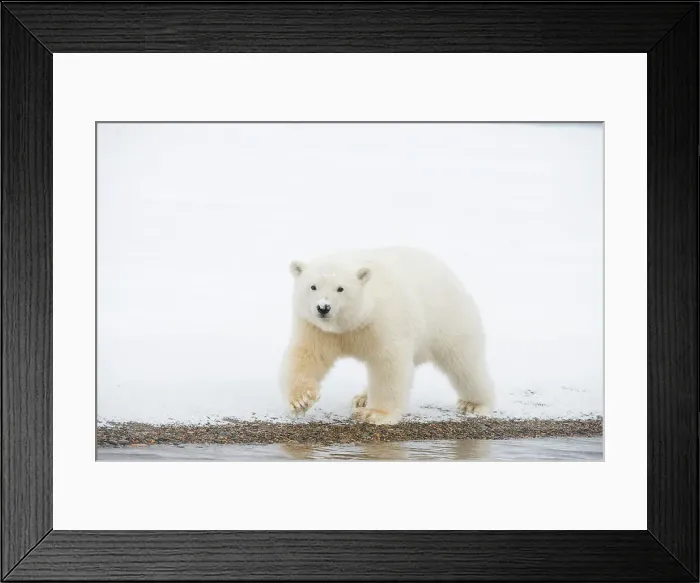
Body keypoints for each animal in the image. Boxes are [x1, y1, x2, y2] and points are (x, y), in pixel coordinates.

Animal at [279, 246, 495, 425]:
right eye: (313, 286)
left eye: (340, 288)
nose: (323, 307)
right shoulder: (316, 327)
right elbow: (308, 354)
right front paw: (301, 400)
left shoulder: (384, 319)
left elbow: (388, 363)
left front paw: (374, 414)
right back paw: (361, 397)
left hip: (448, 318)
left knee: (465, 364)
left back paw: (474, 403)